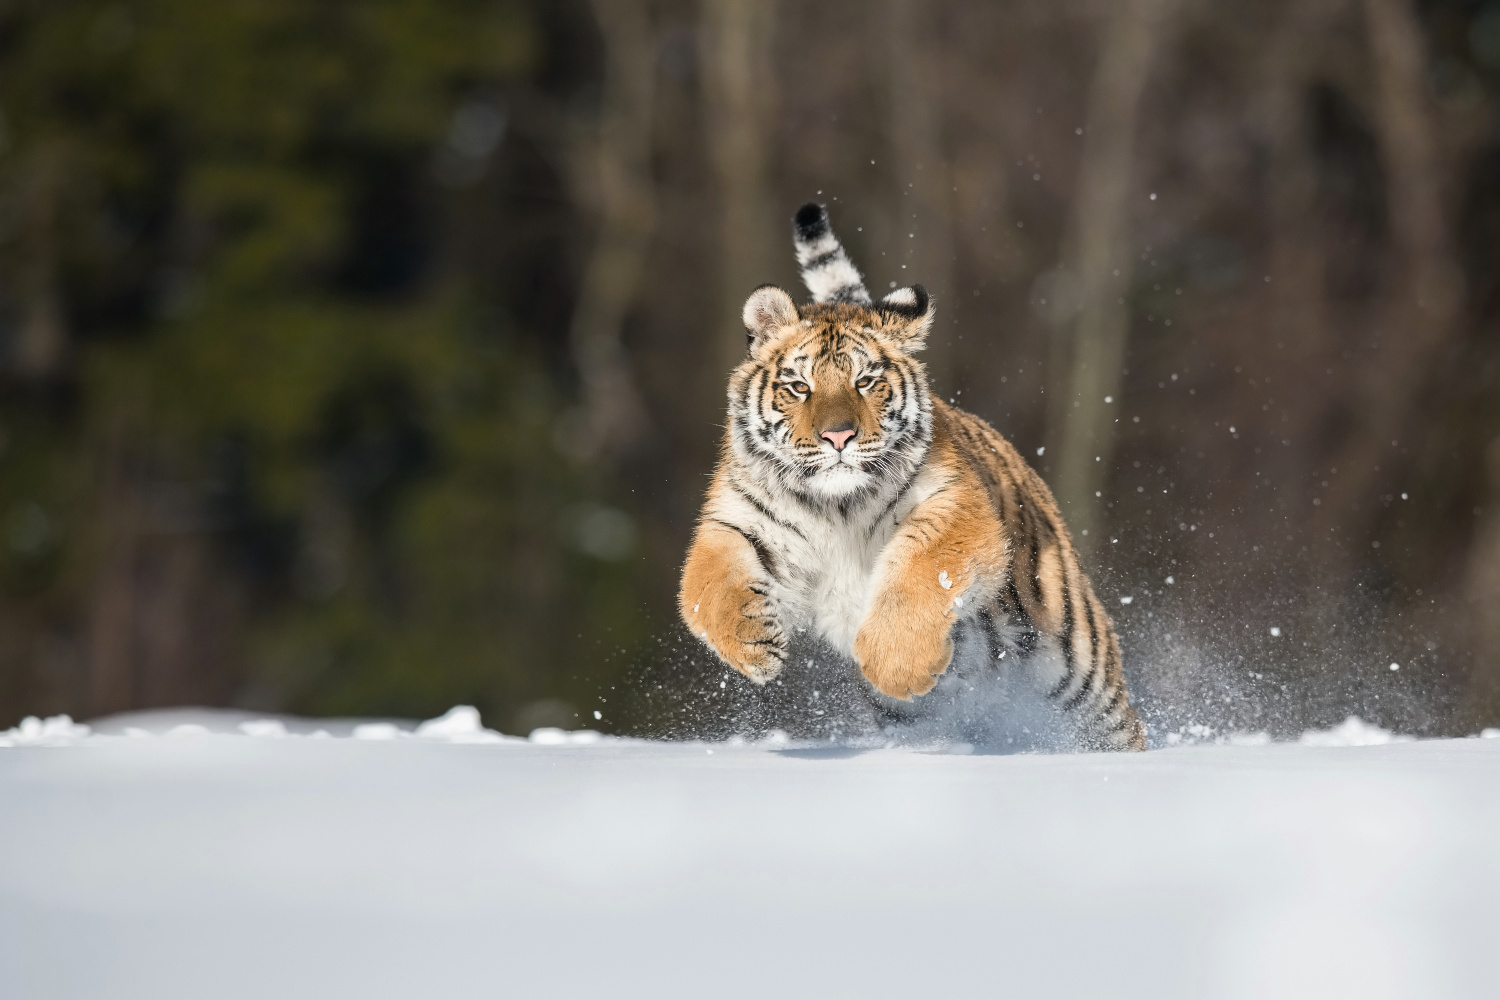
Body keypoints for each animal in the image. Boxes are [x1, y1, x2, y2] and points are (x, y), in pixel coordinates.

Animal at [681, 203, 1146, 749]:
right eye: (799, 387)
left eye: (865, 381)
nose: (838, 436)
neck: (835, 505)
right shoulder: (738, 522)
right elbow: (705, 588)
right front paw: (755, 646)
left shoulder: (954, 506)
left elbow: (920, 573)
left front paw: (899, 668)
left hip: (1076, 666)